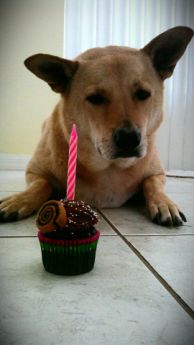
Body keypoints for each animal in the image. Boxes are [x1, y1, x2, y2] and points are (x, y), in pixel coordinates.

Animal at [0, 26, 192, 226]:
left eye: (143, 94)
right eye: (95, 98)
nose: (129, 139)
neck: (109, 167)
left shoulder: (158, 174)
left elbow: (152, 184)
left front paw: (164, 203)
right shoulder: (34, 172)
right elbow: (41, 184)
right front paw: (19, 200)